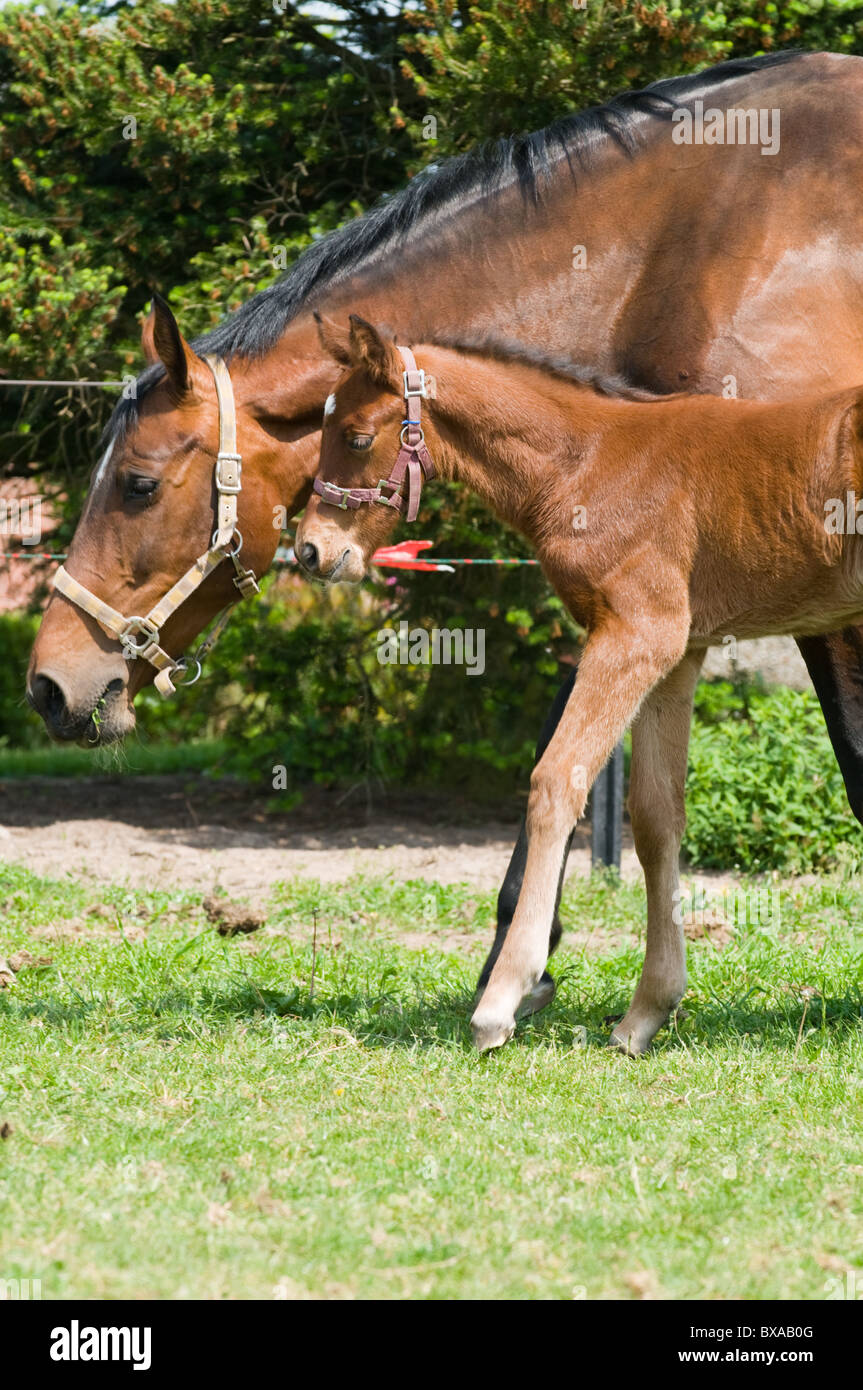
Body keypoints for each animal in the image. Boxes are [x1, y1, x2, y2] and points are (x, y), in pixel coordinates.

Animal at [296, 314, 863, 1052]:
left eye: (358, 437)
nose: (310, 551)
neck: (586, 461)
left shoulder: (635, 635)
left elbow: (555, 782)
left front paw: (501, 999)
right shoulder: (679, 652)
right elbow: (655, 816)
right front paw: (646, 1013)